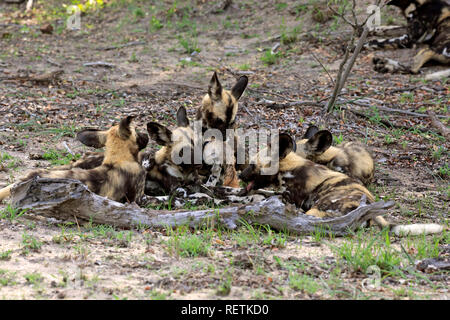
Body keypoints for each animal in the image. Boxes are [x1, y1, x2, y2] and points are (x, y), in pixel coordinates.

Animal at [239, 132, 442, 235]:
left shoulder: (288, 198)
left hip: (318, 211)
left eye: (252, 165)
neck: (289, 167)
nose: (240, 175)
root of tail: (370, 207)